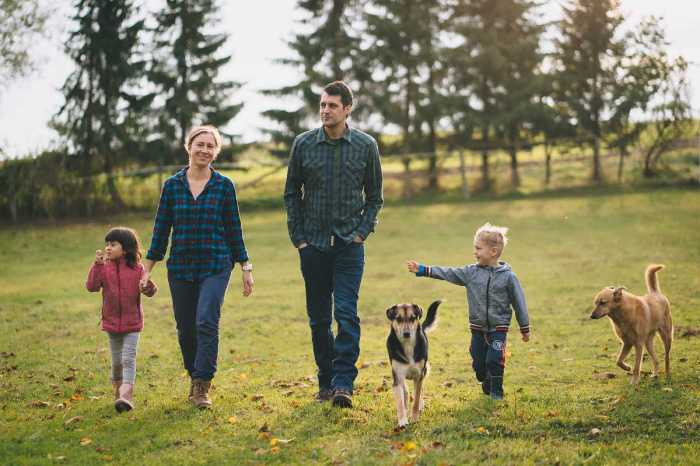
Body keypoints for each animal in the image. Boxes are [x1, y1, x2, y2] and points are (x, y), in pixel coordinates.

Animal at [386, 300, 440, 428]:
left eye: (412, 318)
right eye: (398, 319)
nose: (406, 334)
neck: (408, 345)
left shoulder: (419, 376)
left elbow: (416, 399)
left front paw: (415, 418)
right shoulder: (397, 377)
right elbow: (400, 402)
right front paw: (402, 421)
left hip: (425, 370)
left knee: (419, 392)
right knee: (405, 391)